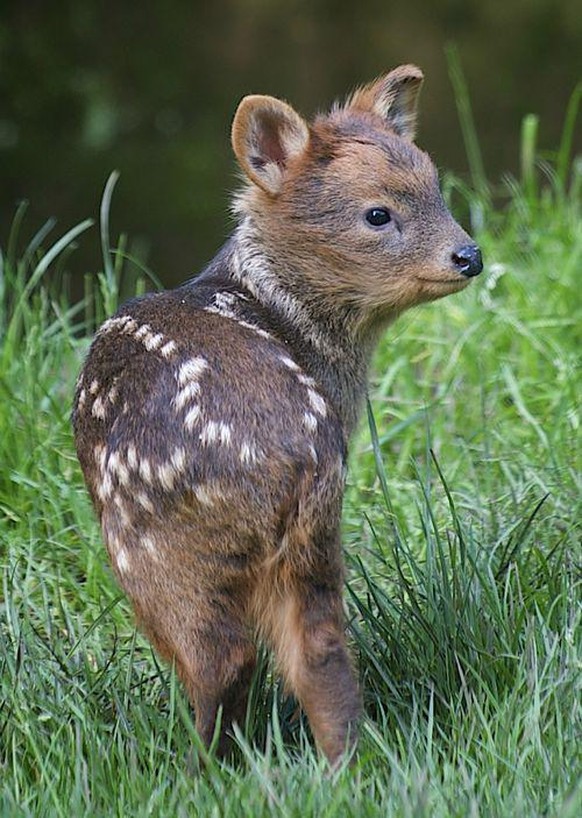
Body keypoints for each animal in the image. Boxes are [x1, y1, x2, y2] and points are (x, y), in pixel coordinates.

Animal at [72, 63, 484, 764]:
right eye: (378, 213)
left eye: (435, 189)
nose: (470, 256)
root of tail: (290, 458)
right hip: (315, 539)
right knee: (321, 652)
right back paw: (343, 763)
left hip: (153, 547)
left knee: (221, 657)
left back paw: (201, 766)